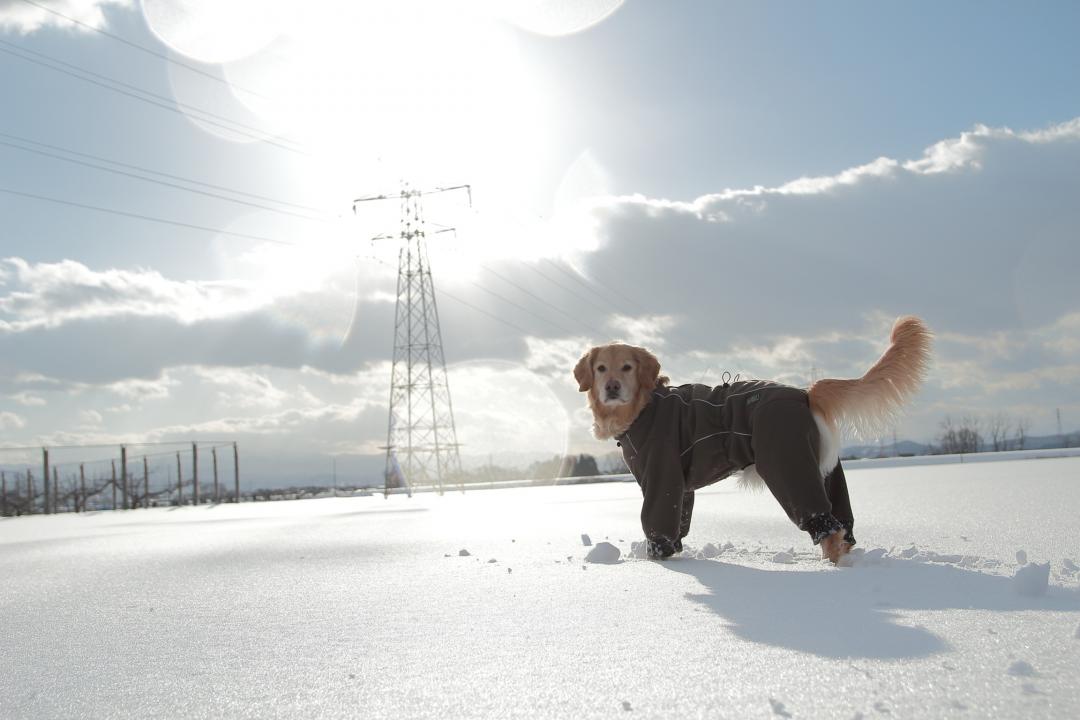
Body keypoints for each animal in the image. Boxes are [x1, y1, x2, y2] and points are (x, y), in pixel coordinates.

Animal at [570, 317, 933, 561]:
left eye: (627, 367)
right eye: (601, 368)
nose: (611, 386)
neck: (645, 406)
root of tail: (804, 392)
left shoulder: (662, 478)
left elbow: (657, 523)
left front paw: (658, 561)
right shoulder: (682, 487)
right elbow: (679, 525)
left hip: (788, 465)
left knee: (824, 523)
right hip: (825, 469)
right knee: (842, 523)